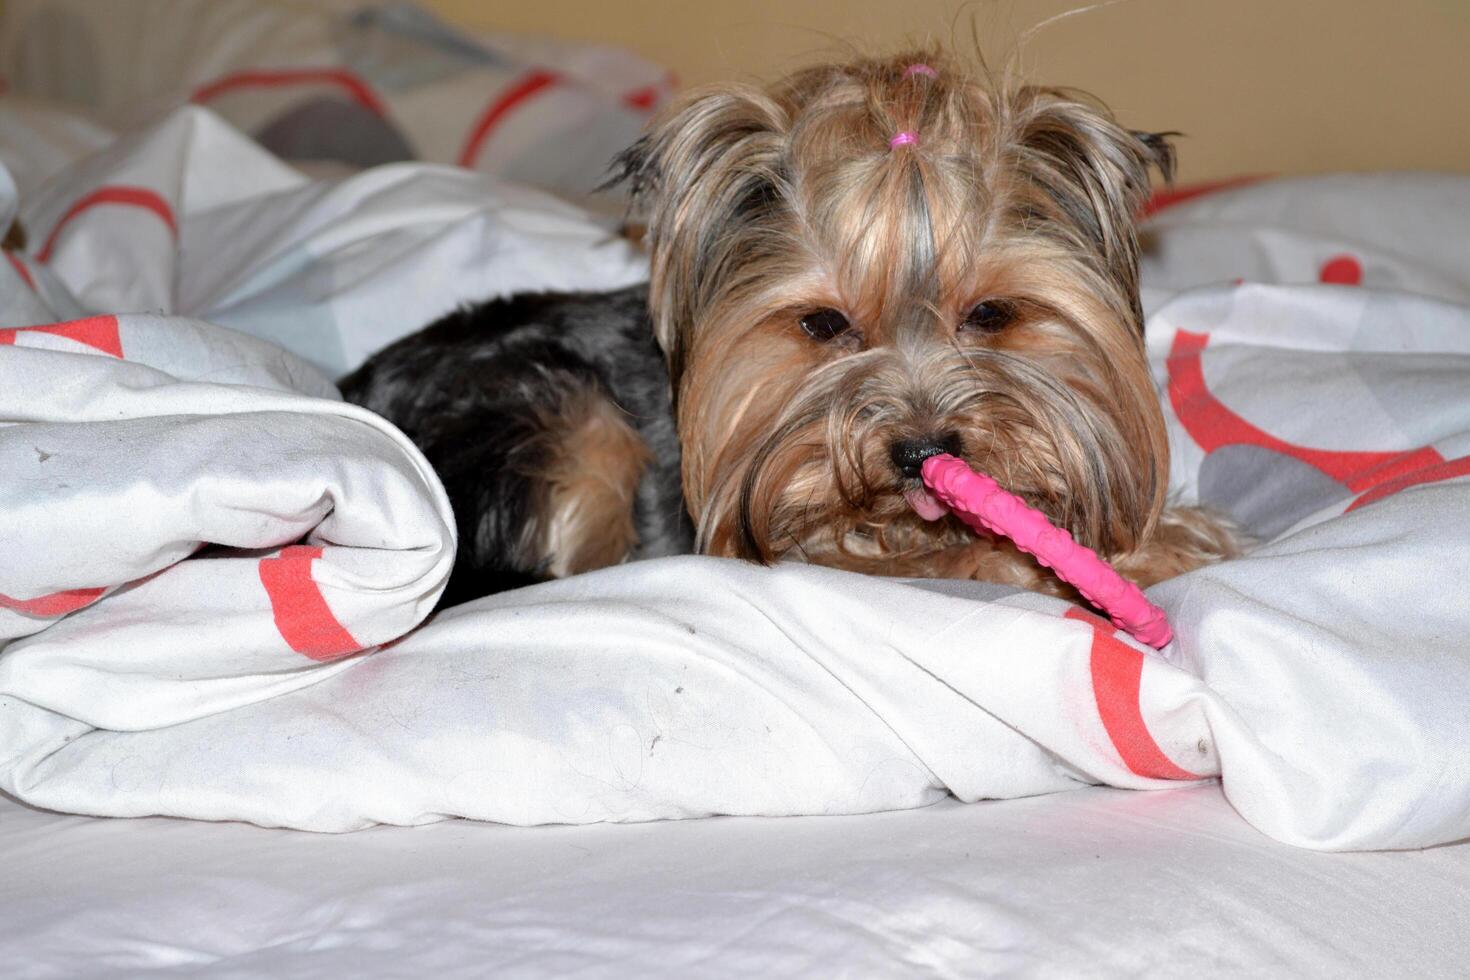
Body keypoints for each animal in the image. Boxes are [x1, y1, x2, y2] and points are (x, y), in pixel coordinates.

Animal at [343, 51, 1240, 614]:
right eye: (823, 323)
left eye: (990, 314)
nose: (921, 450)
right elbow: (948, 557)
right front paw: (1113, 558)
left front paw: (1174, 537)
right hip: (555, 422)